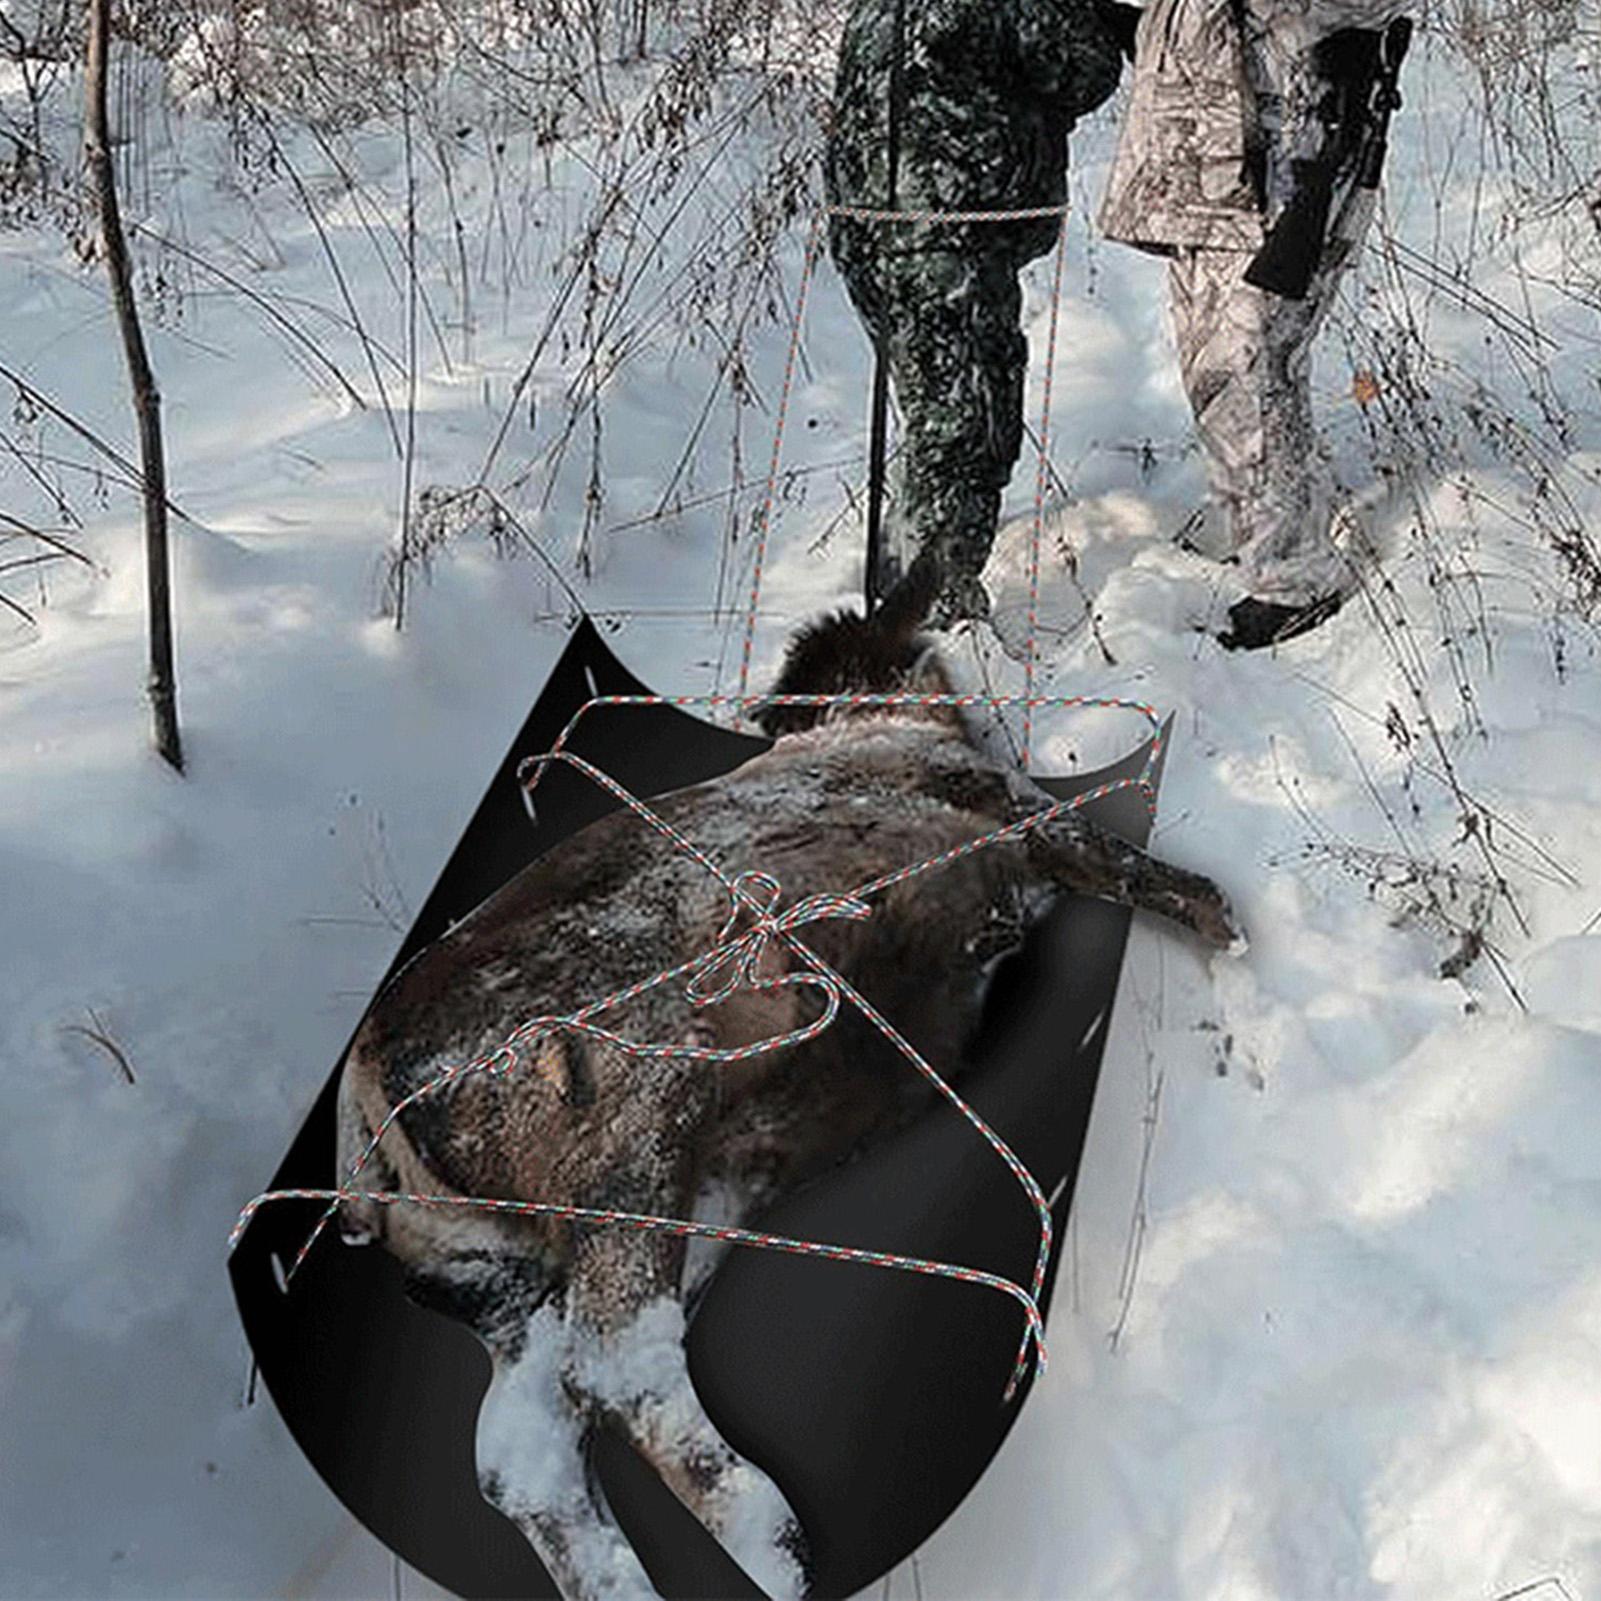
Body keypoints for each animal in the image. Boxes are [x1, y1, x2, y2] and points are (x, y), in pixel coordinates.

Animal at [334, 574, 1242, 1601]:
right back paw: (779, 1539)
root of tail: (366, 1114)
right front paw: (1235, 953)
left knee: (521, 1445)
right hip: (637, 1147)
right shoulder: (1017, 815)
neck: (868, 722)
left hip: (604, 1247)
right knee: (613, 1365)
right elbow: (1161, 879)